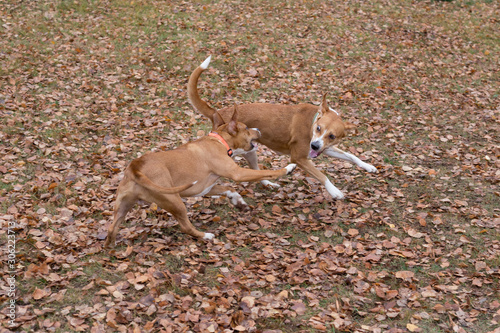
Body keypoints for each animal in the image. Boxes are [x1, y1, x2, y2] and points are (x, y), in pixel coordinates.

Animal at [103, 107, 294, 246]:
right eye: (247, 128)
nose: (258, 129)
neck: (219, 141)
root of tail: (135, 166)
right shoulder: (238, 173)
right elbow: (265, 172)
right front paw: (288, 168)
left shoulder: (205, 188)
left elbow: (229, 189)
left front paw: (239, 202)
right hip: (174, 201)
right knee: (185, 227)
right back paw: (205, 236)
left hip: (123, 206)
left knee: (111, 228)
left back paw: (110, 247)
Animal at [188, 55, 376, 198]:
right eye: (319, 128)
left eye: (332, 136)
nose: (315, 145)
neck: (312, 121)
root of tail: (219, 112)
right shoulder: (299, 158)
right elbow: (322, 175)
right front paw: (334, 191)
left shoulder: (325, 148)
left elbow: (351, 156)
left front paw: (368, 166)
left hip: (251, 151)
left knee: (257, 173)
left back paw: (269, 184)